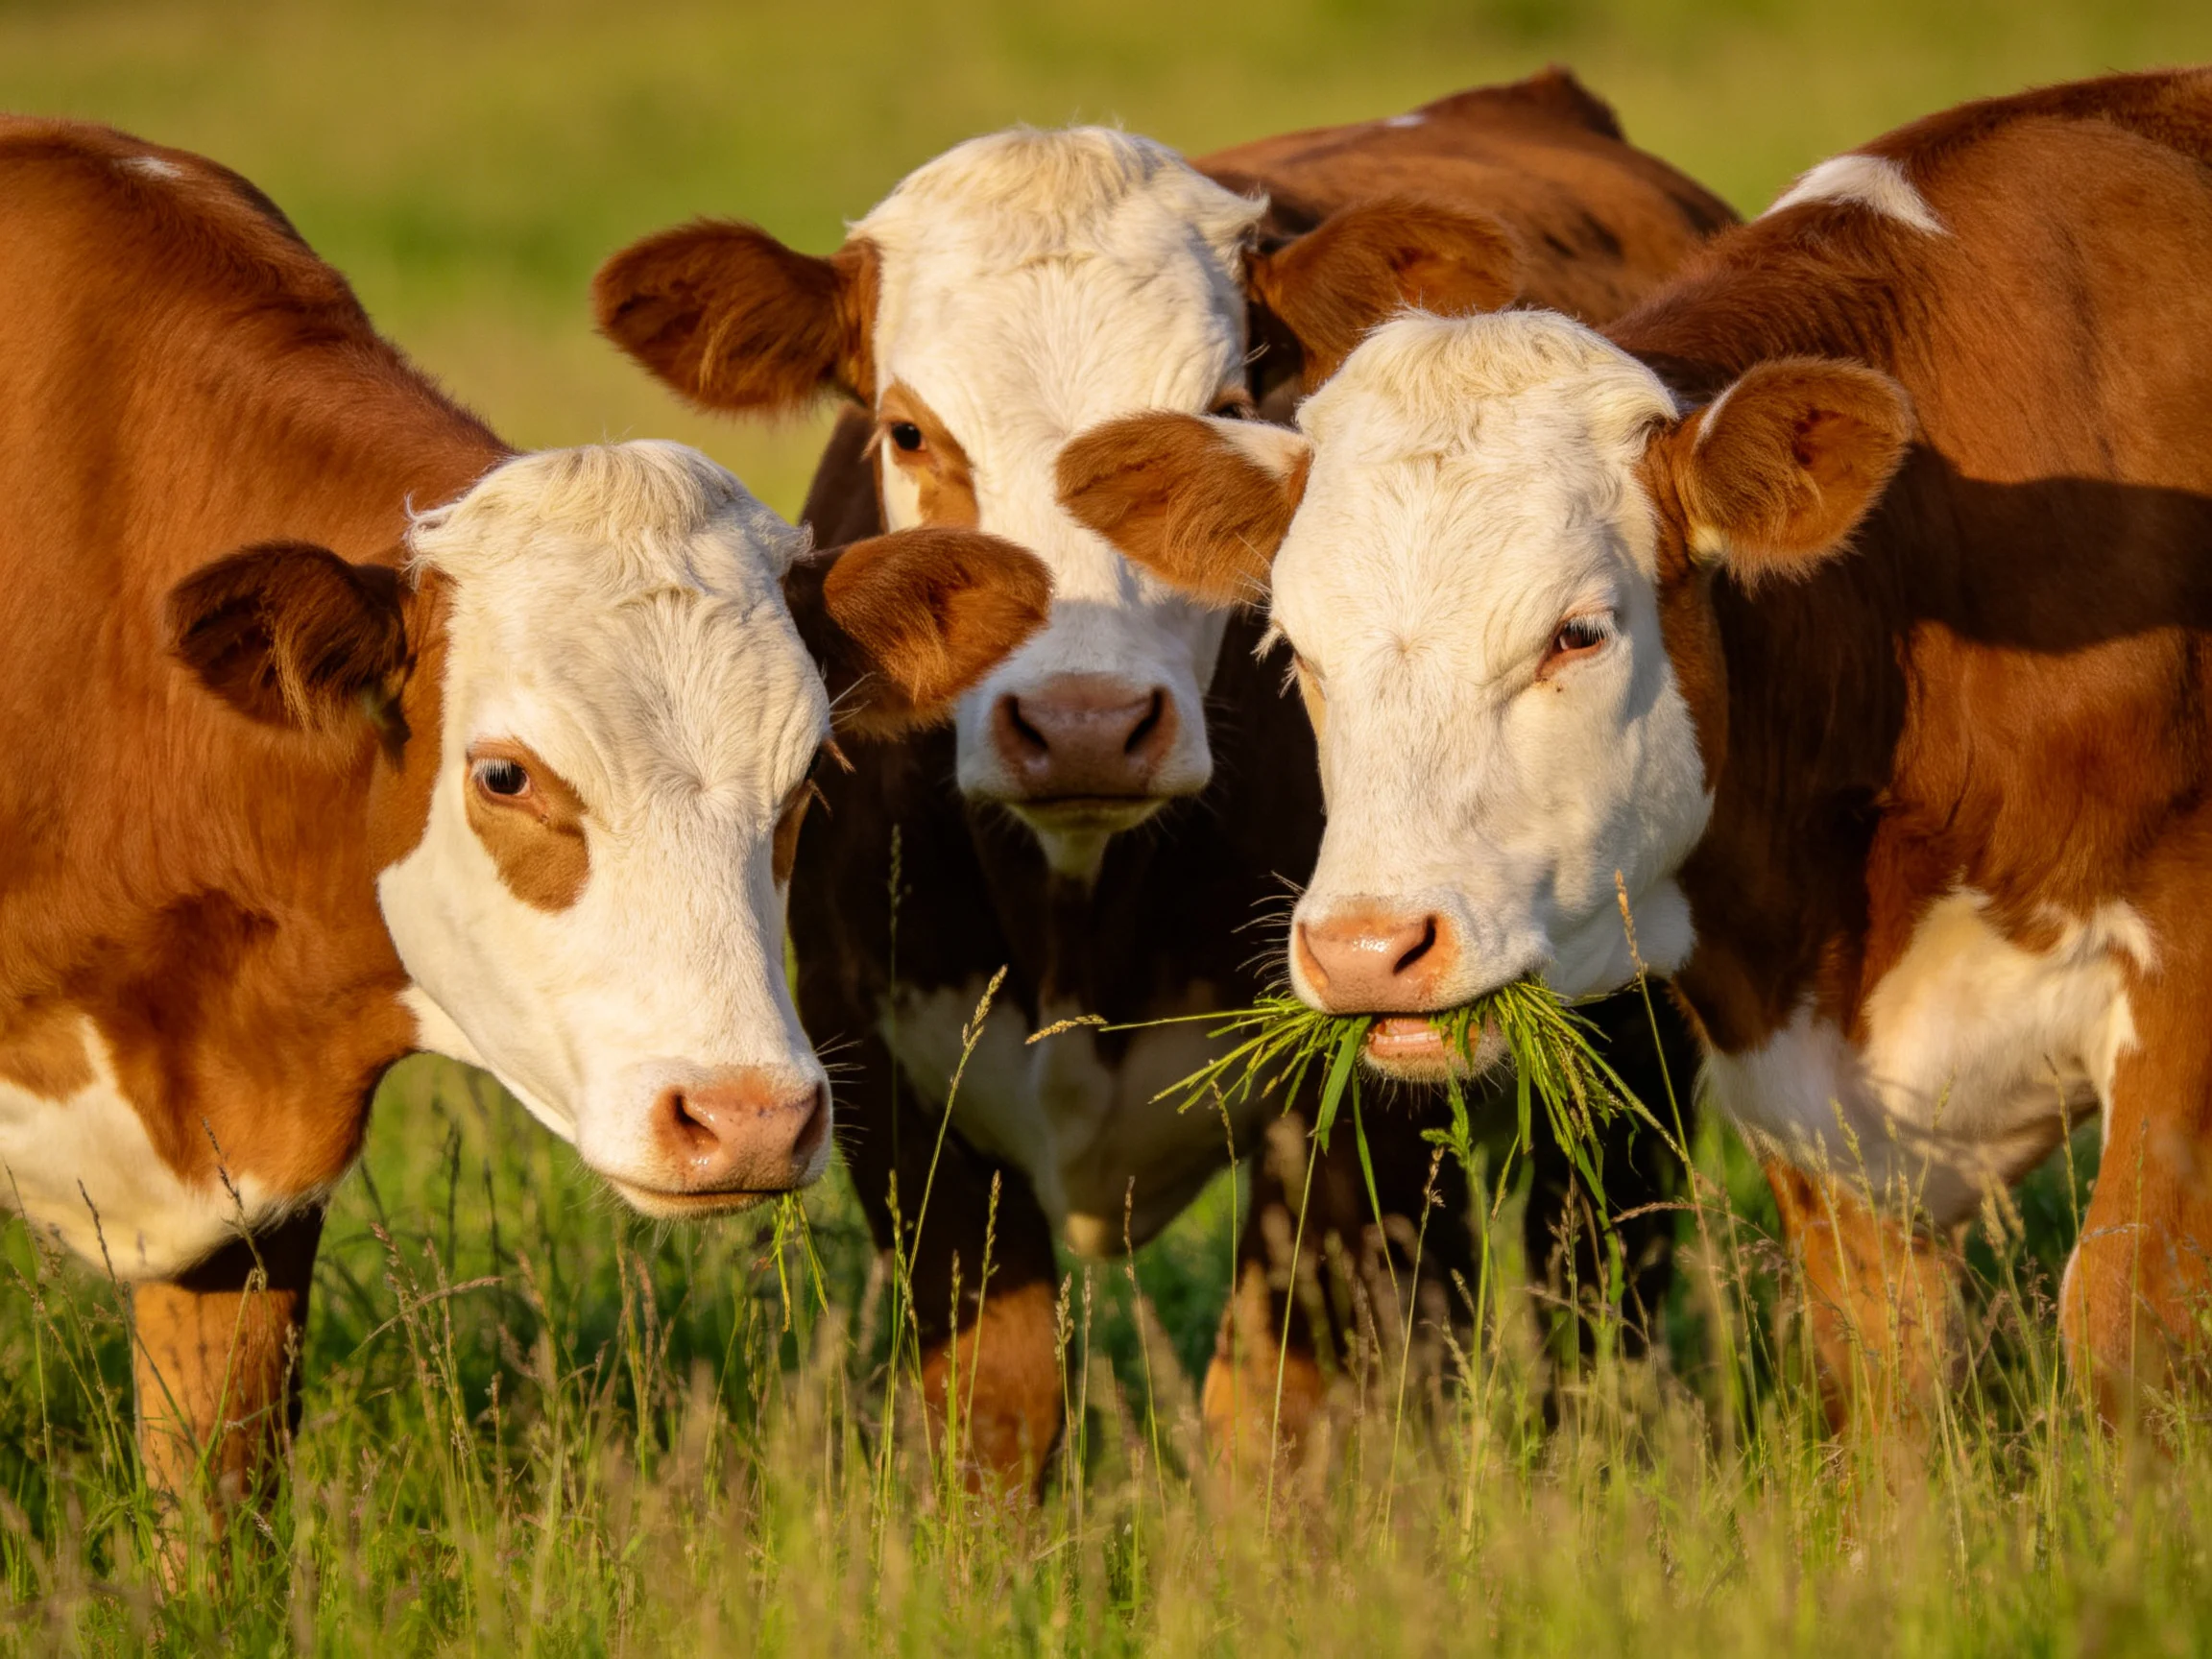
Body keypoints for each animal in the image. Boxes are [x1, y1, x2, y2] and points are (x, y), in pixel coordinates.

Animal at [593, 69, 1730, 1486]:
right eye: (906, 430)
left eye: (1228, 409)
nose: (1084, 722)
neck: (1080, 917)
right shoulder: (888, 1082)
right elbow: (998, 1406)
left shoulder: (1350, 1102)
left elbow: (1281, 1418)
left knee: (1599, 1272)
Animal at [1058, 68, 2212, 1426]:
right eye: (1293, 645)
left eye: (1578, 634)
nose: (1368, 950)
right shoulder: (1817, 1111)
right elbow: (1889, 1377)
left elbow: (2125, 1329)